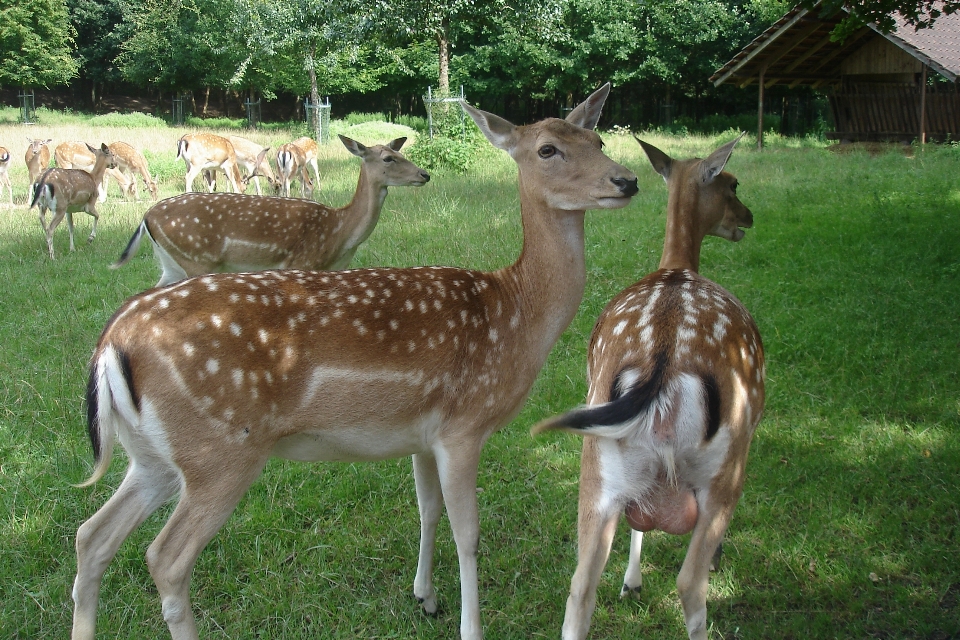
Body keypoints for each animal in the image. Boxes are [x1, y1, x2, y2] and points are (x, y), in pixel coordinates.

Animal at [110, 135, 430, 288]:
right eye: (388, 158)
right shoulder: (301, 263)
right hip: (197, 258)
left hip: (171, 263)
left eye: (401, 152)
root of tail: (146, 218)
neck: (339, 233)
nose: (424, 174)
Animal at [532, 135, 764, 640]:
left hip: (599, 463)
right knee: (689, 584)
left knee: (580, 586)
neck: (676, 264)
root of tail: (662, 369)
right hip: (727, 464)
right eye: (733, 183)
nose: (749, 217)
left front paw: (631, 583)